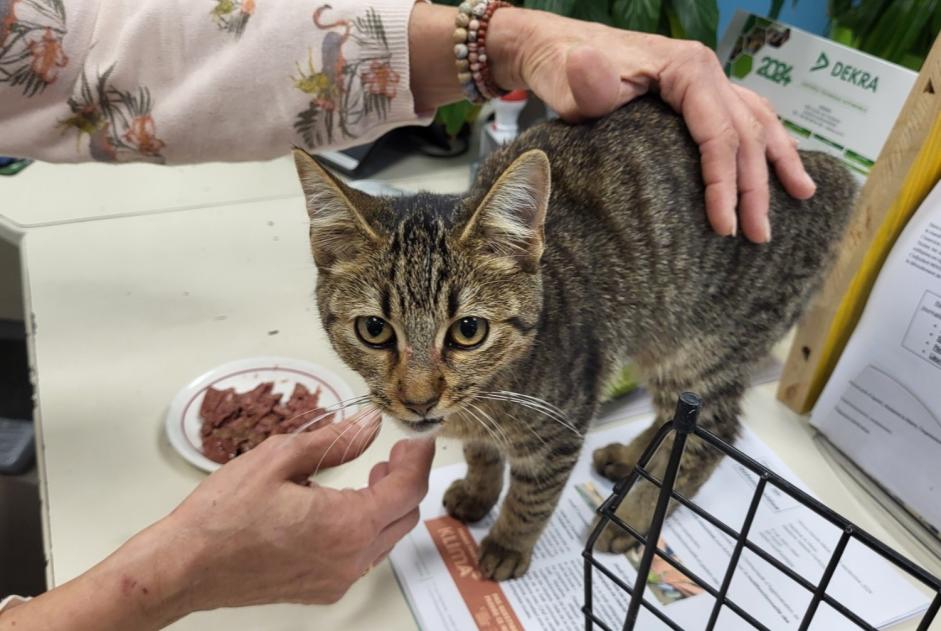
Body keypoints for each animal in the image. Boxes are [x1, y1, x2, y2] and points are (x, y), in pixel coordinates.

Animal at [290, 95, 856, 584]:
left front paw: (506, 544)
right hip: (659, 343)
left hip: (703, 347)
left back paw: (635, 518)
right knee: (677, 417)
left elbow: (531, 498)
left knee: (710, 433)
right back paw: (632, 460)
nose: (419, 399)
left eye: (469, 331)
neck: (493, 392)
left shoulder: (561, 426)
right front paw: (478, 491)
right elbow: (482, 454)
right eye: (374, 330)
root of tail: (827, 173)